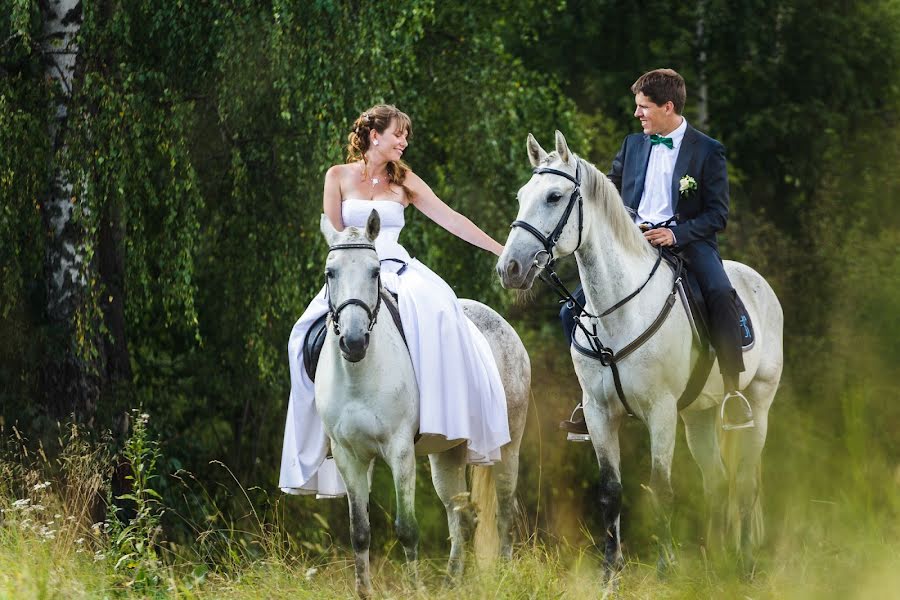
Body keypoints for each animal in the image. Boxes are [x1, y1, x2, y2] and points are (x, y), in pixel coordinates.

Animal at [318, 211, 528, 596]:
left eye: (375, 271)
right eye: (330, 273)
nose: (354, 342)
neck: (360, 374)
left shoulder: (399, 451)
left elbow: (407, 528)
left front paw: (416, 590)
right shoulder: (348, 455)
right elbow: (359, 531)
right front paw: (364, 592)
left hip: (509, 450)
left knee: (505, 512)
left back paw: (504, 578)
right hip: (447, 456)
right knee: (462, 517)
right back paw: (452, 583)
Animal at [496, 131, 784, 576]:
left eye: (554, 197)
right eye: (521, 195)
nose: (509, 268)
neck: (619, 311)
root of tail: (757, 281)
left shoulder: (660, 411)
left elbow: (661, 488)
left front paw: (666, 568)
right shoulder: (598, 413)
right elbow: (611, 490)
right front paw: (609, 570)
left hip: (759, 403)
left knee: (748, 482)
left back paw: (745, 563)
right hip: (698, 416)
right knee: (717, 481)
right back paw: (718, 562)